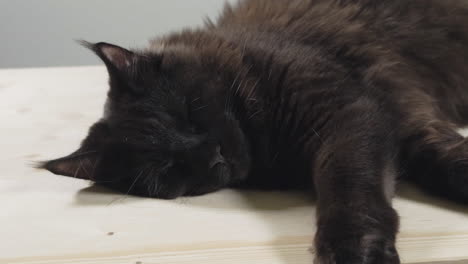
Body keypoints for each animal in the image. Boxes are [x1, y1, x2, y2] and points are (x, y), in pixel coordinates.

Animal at [39, 0, 468, 262]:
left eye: (189, 112)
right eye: (166, 169)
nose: (213, 155)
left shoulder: (352, 112)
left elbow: (350, 185)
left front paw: (355, 249)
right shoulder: (395, 118)